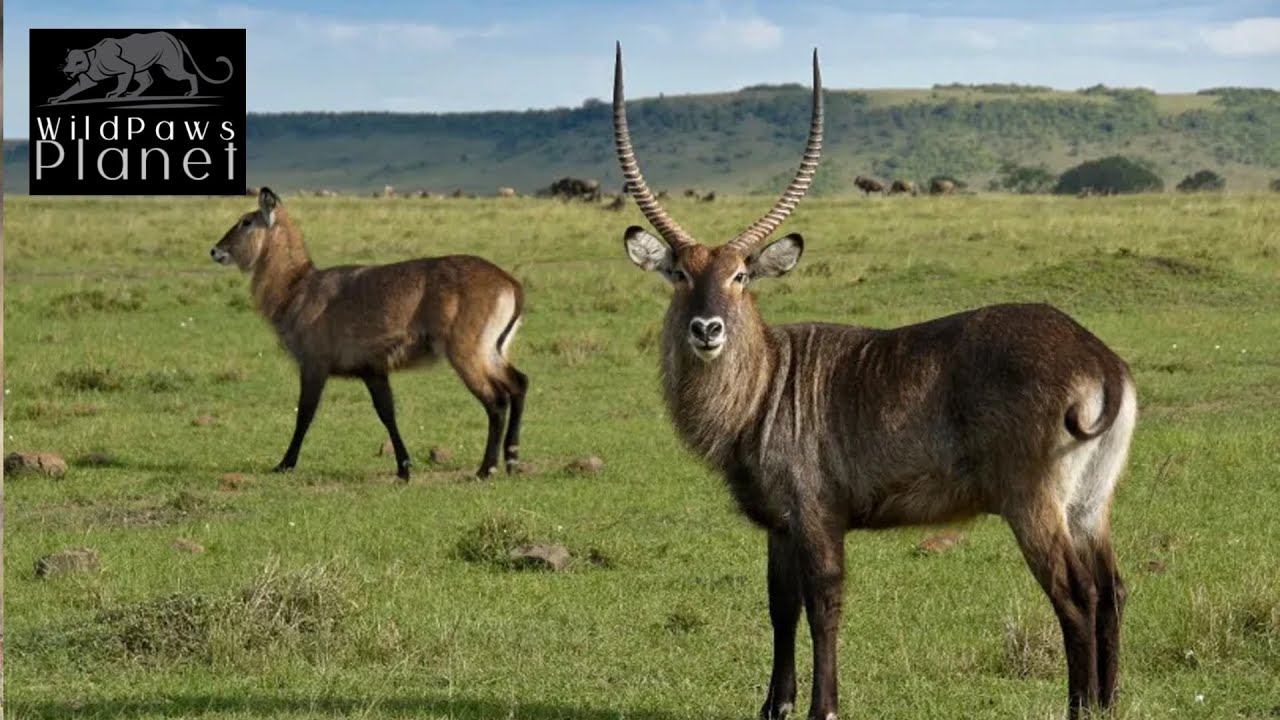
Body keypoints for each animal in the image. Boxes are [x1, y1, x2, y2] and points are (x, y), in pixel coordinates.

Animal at [210, 188, 529, 480]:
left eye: (246, 221)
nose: (214, 250)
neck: (298, 287)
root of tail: (509, 282)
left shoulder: (314, 366)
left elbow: (305, 413)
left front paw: (284, 464)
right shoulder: (373, 370)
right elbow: (387, 413)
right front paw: (403, 468)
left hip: (467, 353)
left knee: (496, 401)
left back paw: (486, 469)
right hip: (493, 350)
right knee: (519, 383)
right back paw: (512, 460)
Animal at [611, 44, 1135, 720]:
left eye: (741, 277)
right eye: (679, 272)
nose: (706, 329)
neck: (765, 384)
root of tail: (1097, 356)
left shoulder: (815, 513)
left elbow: (823, 605)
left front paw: (823, 707)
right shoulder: (781, 525)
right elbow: (780, 609)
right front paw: (774, 706)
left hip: (1033, 503)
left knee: (1075, 596)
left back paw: (1080, 706)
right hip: (1090, 505)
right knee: (1111, 589)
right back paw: (1108, 702)